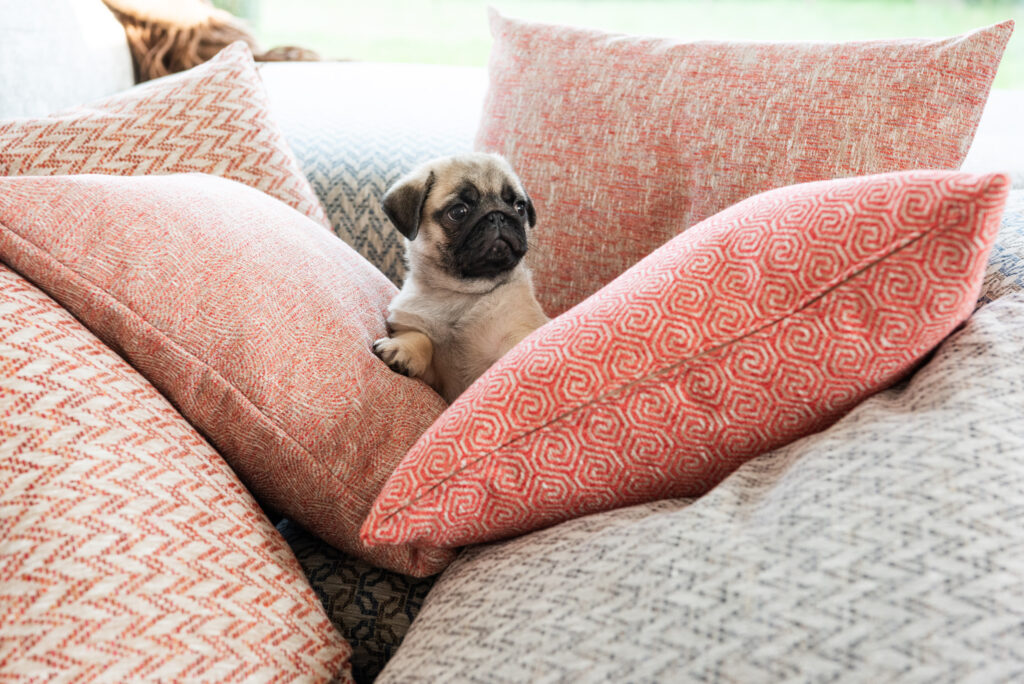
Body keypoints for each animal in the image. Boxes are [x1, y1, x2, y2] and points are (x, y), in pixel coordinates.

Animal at [374, 152, 552, 403]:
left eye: (519, 207)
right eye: (458, 212)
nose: (498, 216)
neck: (461, 294)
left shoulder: (516, 331)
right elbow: (420, 337)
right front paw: (402, 348)